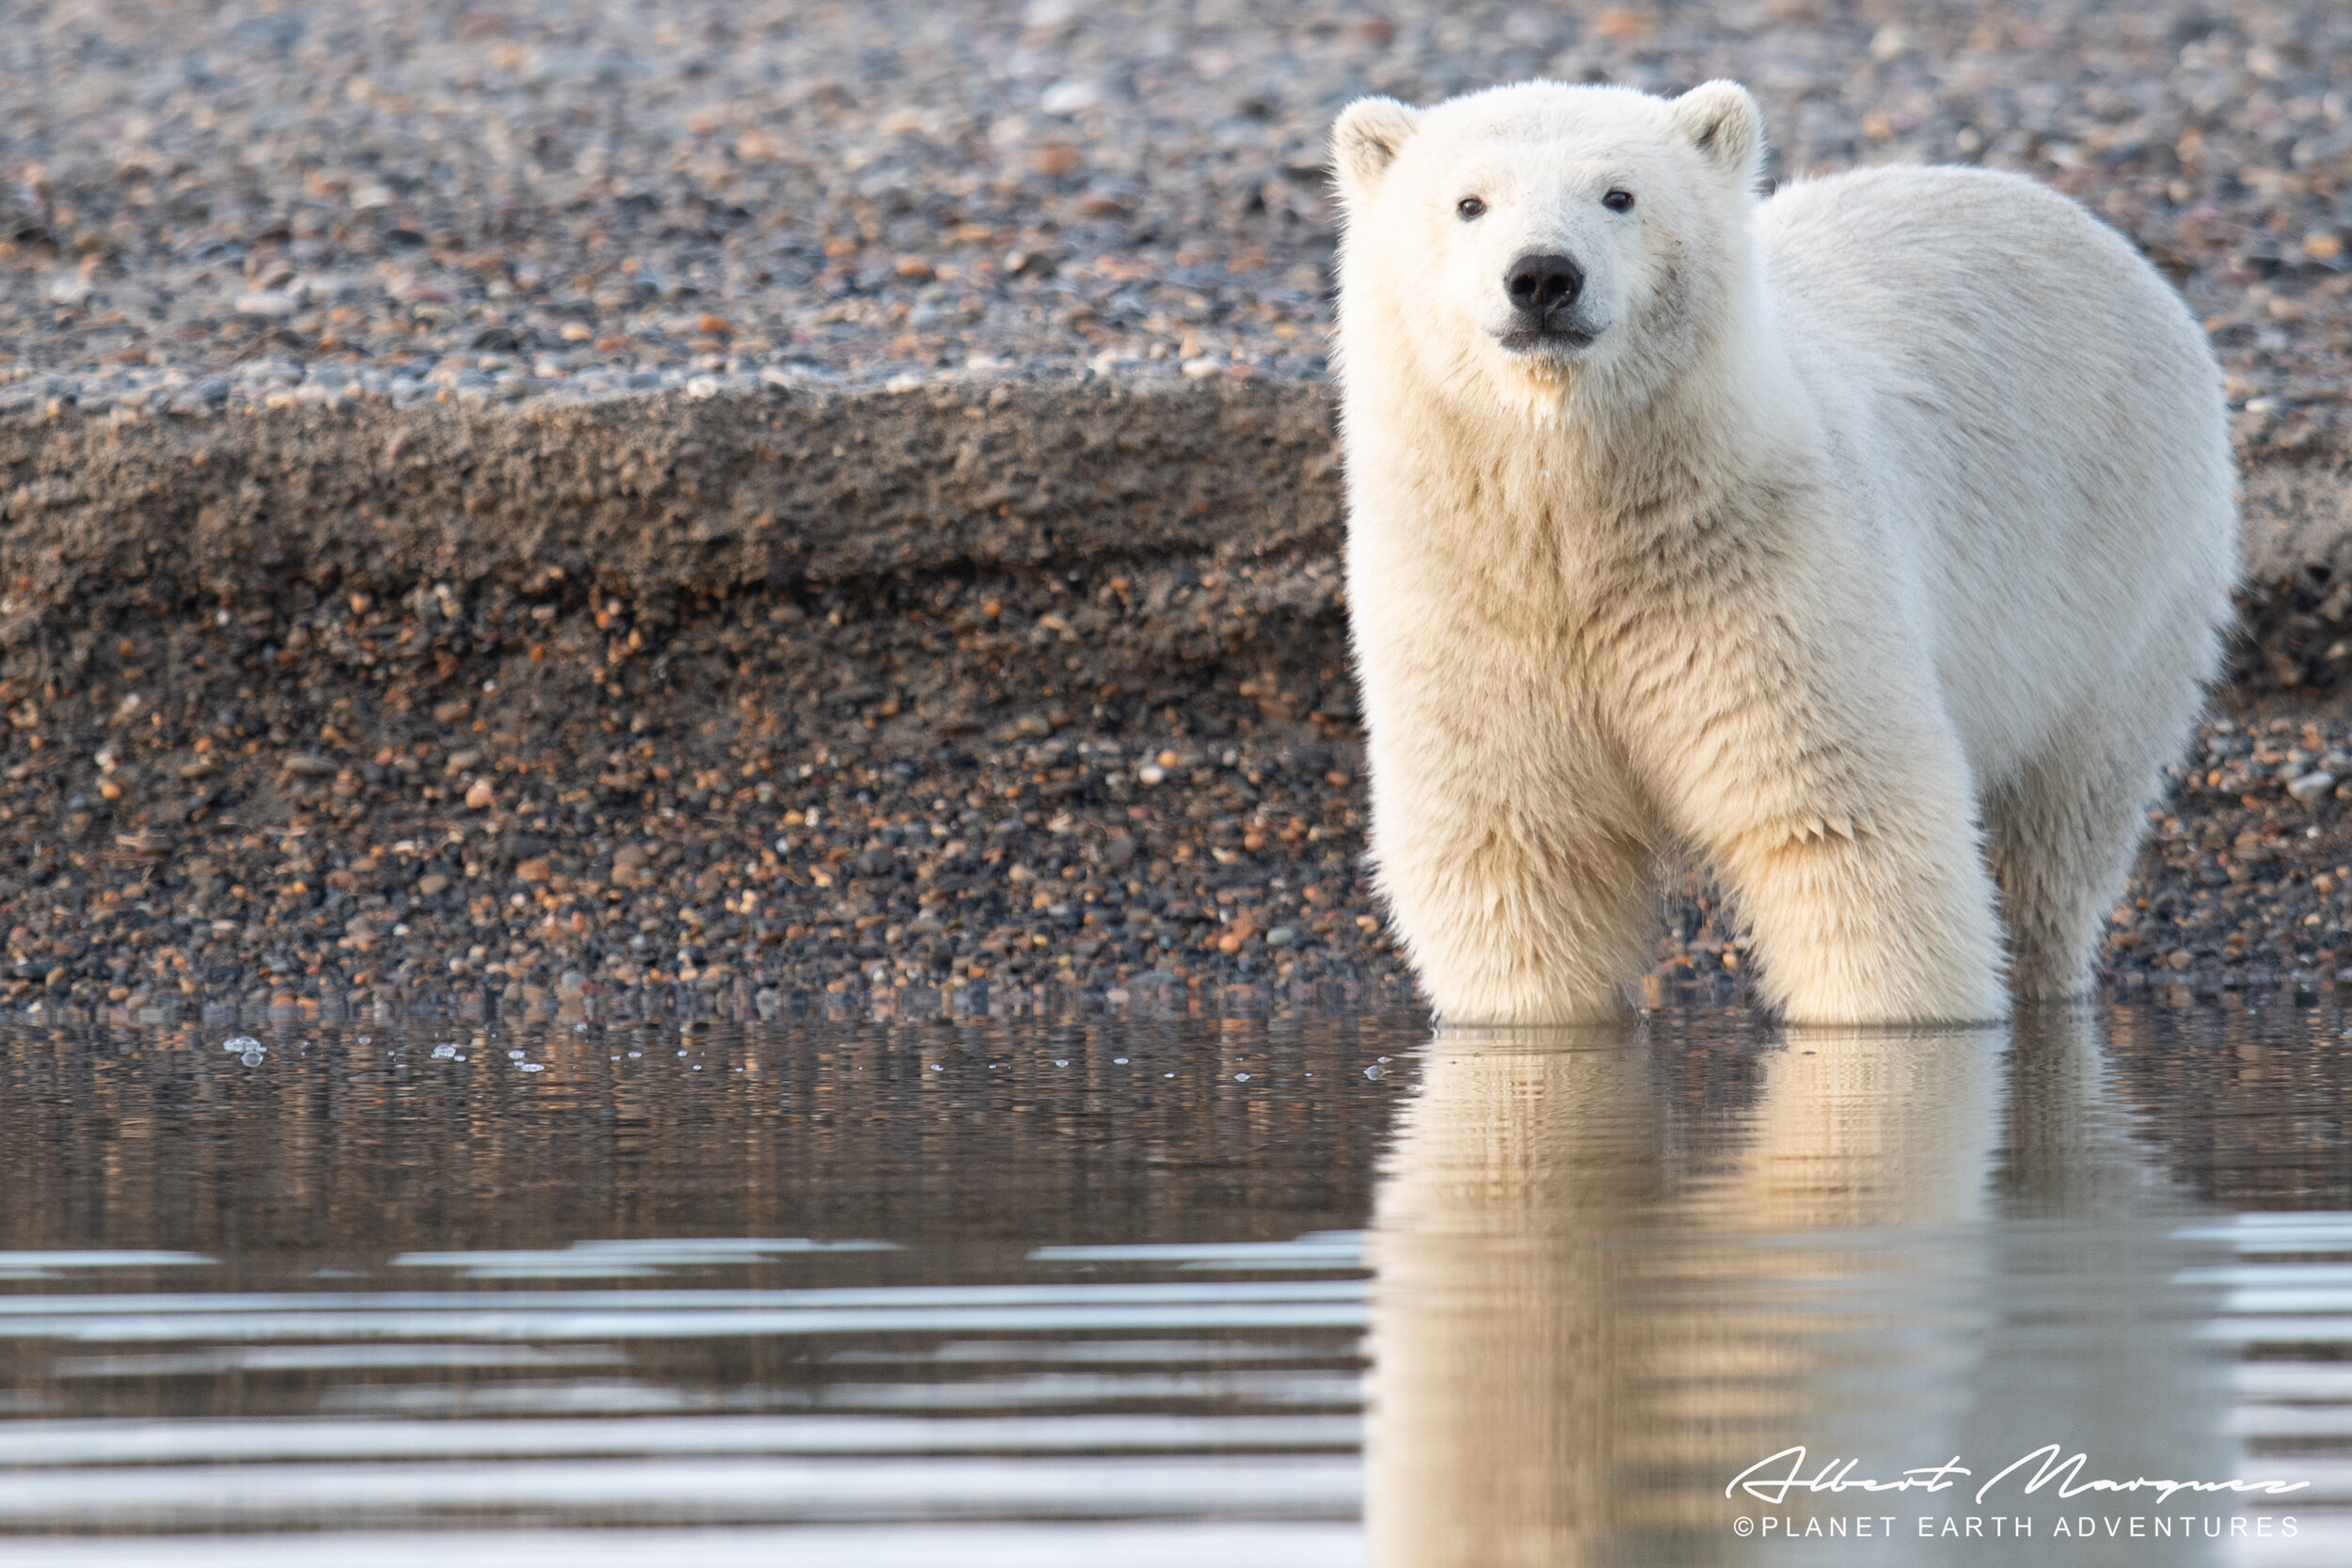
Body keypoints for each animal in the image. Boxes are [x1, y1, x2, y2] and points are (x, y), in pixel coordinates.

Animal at [1336, 83, 2230, 1029]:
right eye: (1469, 202)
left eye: (1619, 195)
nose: (1543, 275)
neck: (1588, 519)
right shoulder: (1474, 599)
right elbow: (1517, 852)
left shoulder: (1761, 575)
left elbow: (1841, 822)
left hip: (2124, 571)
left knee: (2061, 826)